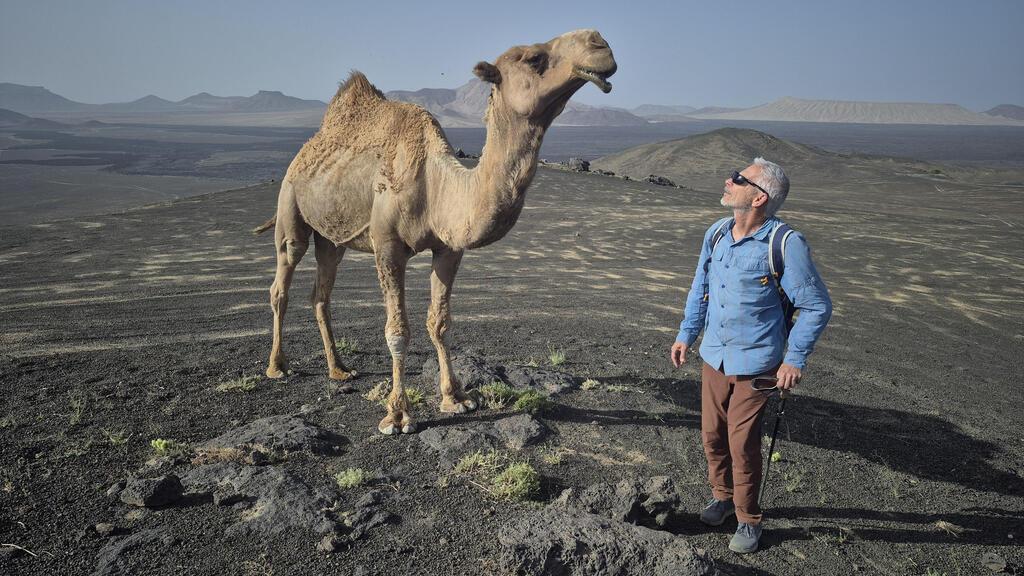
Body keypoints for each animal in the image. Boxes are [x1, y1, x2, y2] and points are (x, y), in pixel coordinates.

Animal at [253, 30, 616, 435]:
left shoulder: (449, 248)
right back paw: (277, 366)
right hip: (290, 204)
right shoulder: (387, 245)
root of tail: (305, 151)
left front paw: (455, 398)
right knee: (282, 280)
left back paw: (339, 370)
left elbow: (439, 323)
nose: (599, 43)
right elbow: (398, 330)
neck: (436, 185)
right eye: (534, 58)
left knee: (321, 291)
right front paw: (397, 415)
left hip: (333, 238)